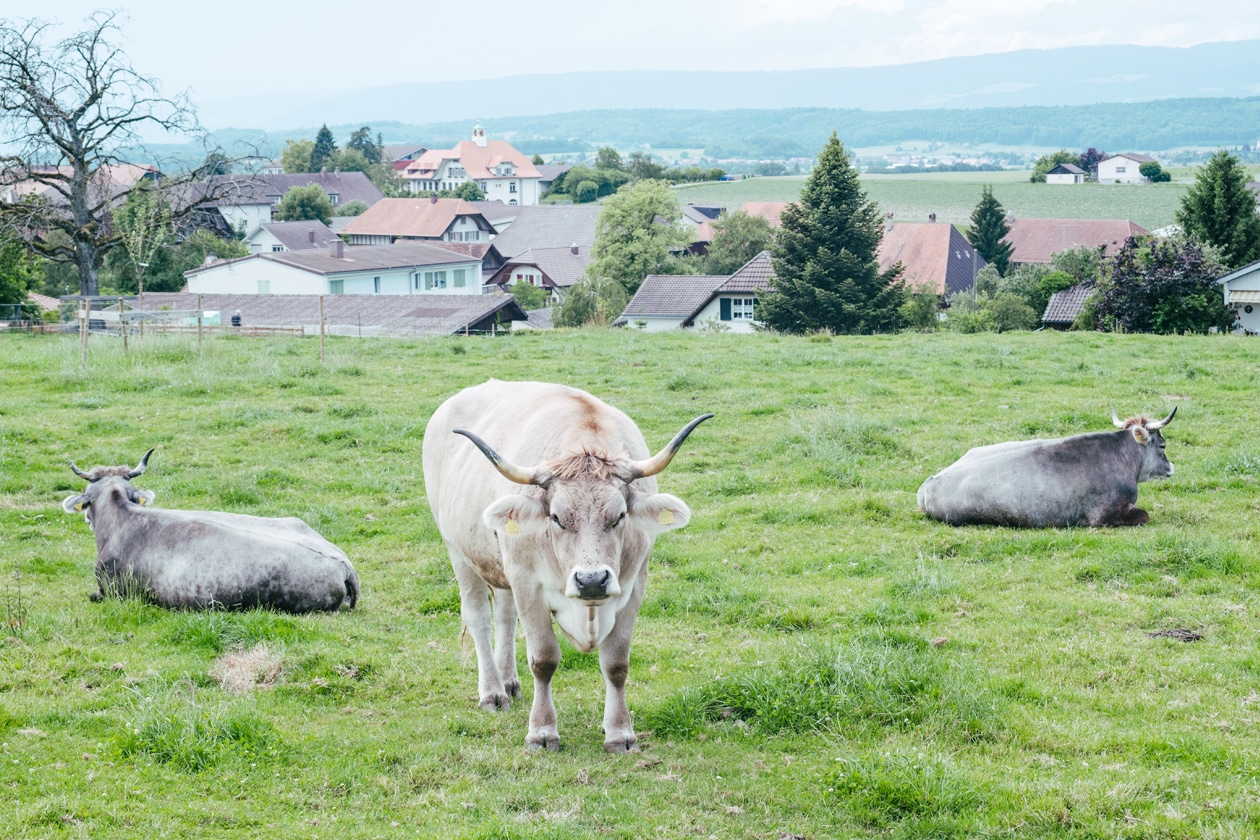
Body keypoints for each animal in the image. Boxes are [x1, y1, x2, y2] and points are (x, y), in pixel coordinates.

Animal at [423, 382, 715, 755]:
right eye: (557, 517)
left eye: (619, 516)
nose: (592, 580)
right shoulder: (527, 583)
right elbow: (544, 659)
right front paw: (542, 732)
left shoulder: (634, 584)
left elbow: (616, 662)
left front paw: (620, 733)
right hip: (458, 552)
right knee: (479, 618)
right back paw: (493, 692)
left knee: (505, 615)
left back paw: (509, 681)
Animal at [922, 408, 1174, 531]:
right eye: (1163, 445)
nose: (1171, 466)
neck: (1121, 455)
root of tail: (928, 484)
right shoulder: (1105, 515)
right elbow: (1144, 515)